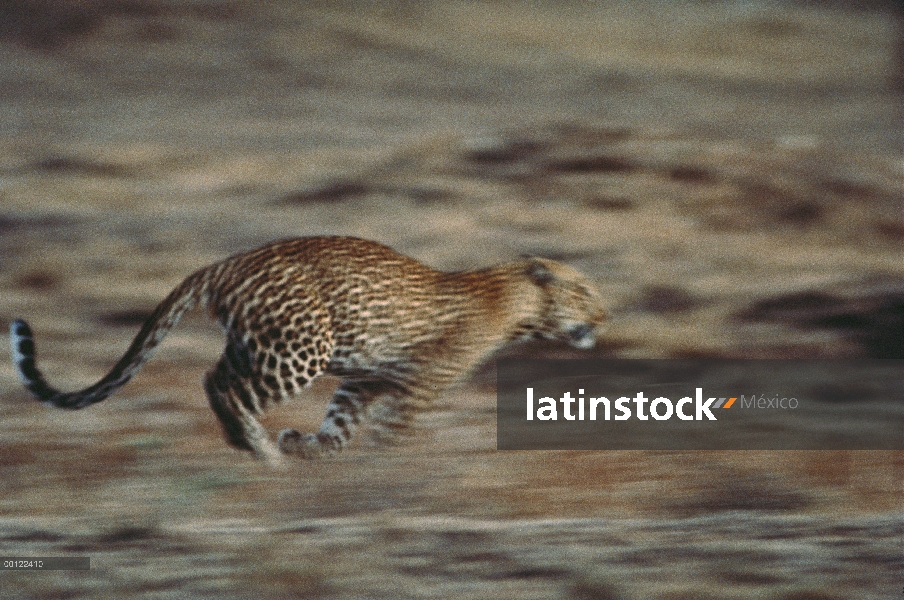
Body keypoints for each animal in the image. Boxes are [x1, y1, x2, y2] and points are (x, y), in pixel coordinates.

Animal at [8, 237, 608, 466]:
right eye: (585, 293)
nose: (604, 318)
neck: (519, 306)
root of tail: (224, 263)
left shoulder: (365, 378)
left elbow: (341, 424)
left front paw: (311, 448)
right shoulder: (420, 382)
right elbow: (391, 434)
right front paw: (382, 474)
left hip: (259, 345)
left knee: (214, 378)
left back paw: (259, 446)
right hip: (300, 349)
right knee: (225, 389)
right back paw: (258, 448)